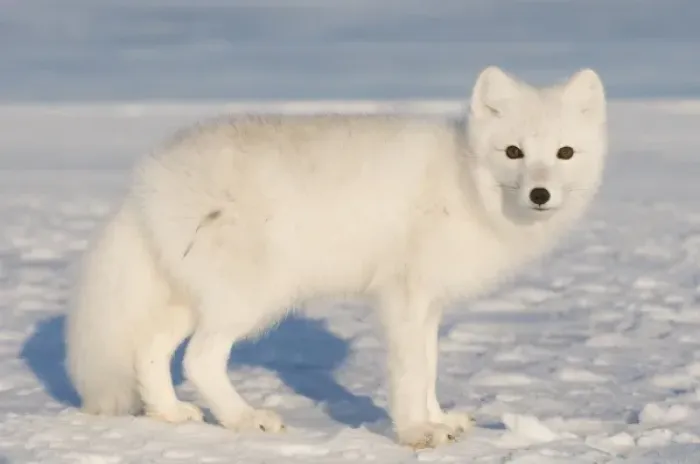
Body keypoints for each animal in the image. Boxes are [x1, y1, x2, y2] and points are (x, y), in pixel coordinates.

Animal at [65, 66, 608, 449]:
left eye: (564, 153)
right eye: (513, 151)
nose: (540, 194)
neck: (466, 185)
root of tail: (145, 179)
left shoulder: (429, 304)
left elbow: (429, 367)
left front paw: (440, 420)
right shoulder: (403, 297)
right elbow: (411, 373)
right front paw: (416, 433)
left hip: (194, 296)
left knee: (149, 350)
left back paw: (171, 413)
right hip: (253, 298)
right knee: (200, 359)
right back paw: (245, 419)